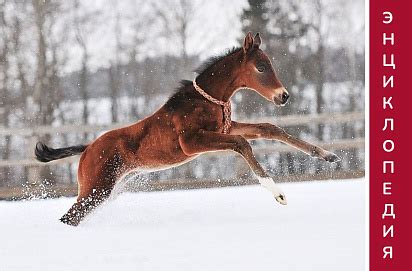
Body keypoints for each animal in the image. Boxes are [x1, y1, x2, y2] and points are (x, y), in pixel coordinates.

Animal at [34, 32, 338, 227]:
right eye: (261, 67)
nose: (283, 96)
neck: (207, 100)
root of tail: (87, 149)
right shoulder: (191, 143)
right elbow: (243, 143)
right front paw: (278, 193)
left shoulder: (224, 128)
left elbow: (269, 128)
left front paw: (328, 156)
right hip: (96, 189)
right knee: (69, 217)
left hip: (105, 189)